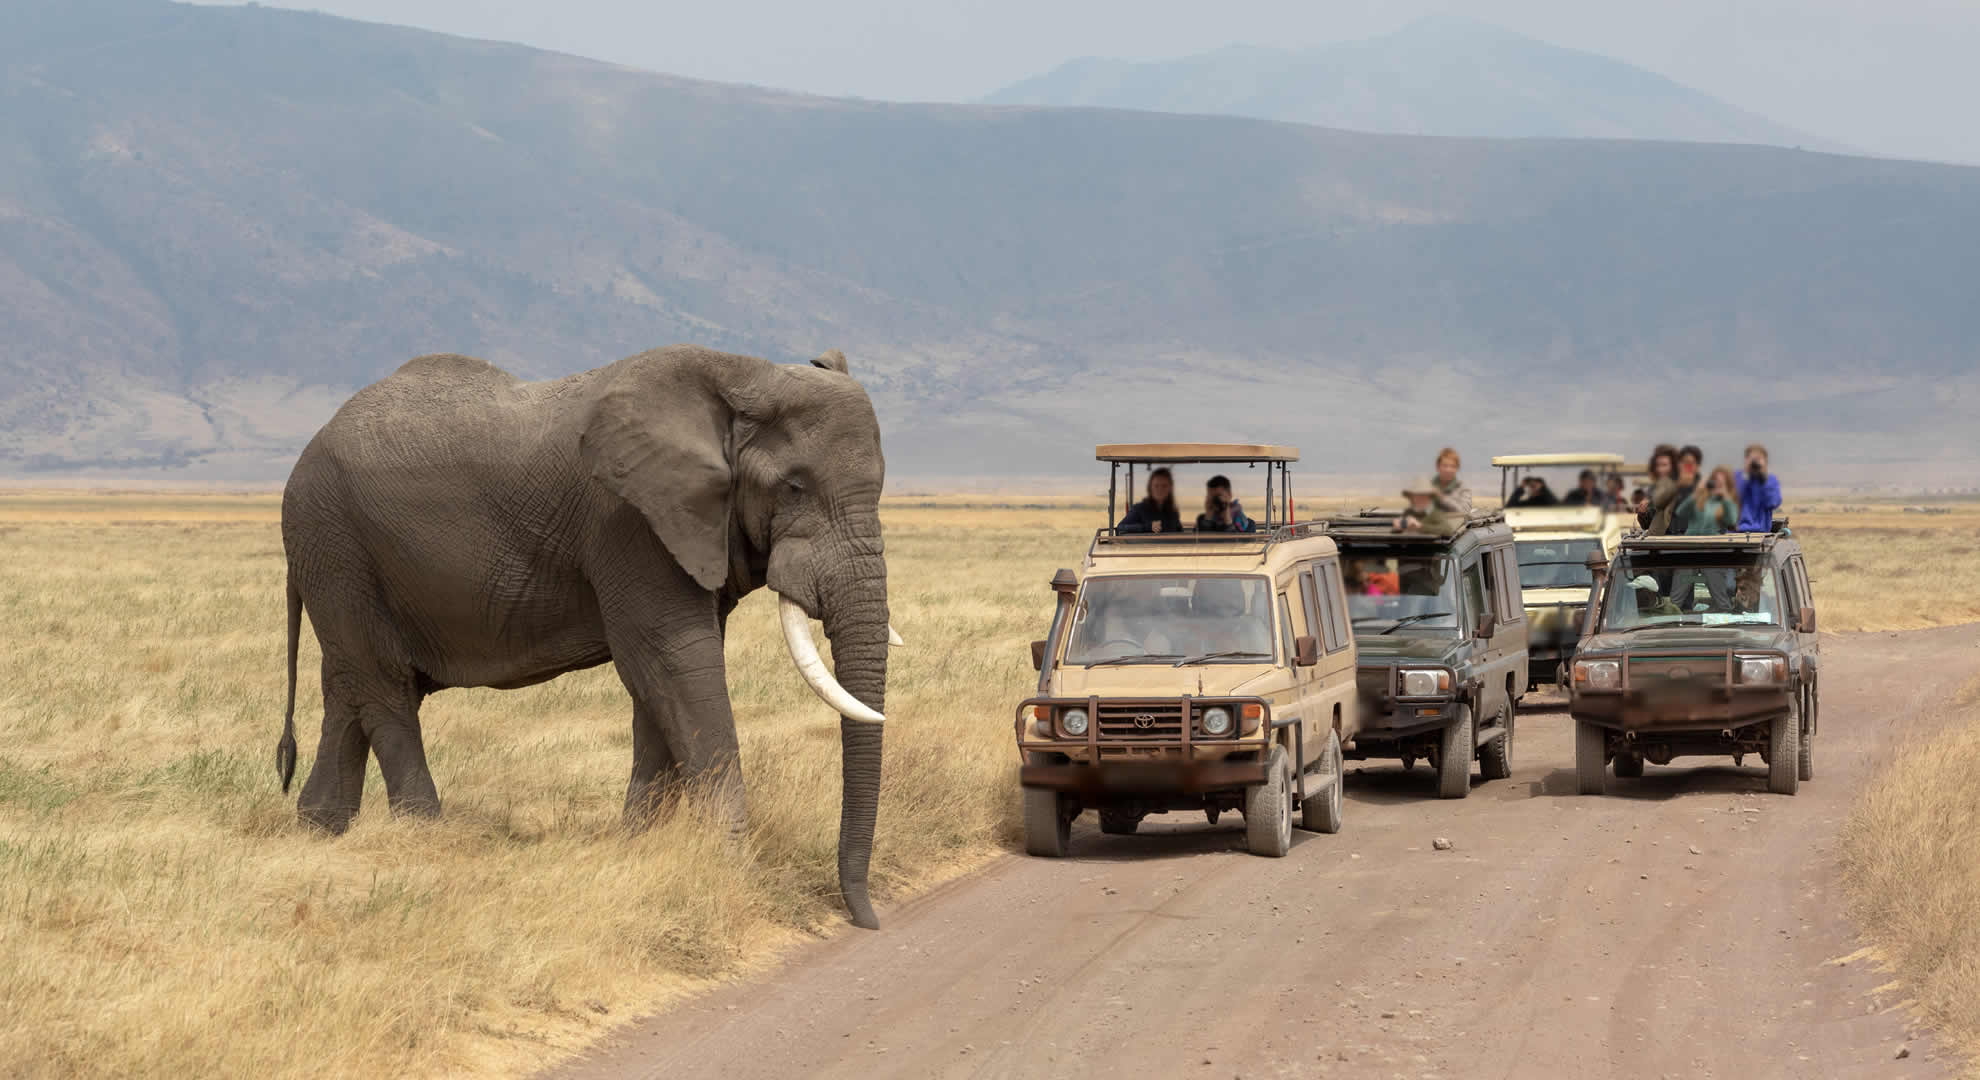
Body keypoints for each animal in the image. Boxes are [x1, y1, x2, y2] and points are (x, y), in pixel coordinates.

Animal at [275, 342, 894, 927]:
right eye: (794, 487)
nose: (864, 918)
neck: (746, 374)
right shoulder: (628, 521)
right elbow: (674, 660)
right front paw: (729, 863)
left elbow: (664, 680)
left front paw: (641, 845)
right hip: (334, 544)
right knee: (385, 690)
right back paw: (425, 834)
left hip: (340, 559)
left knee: (349, 690)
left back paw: (321, 827)